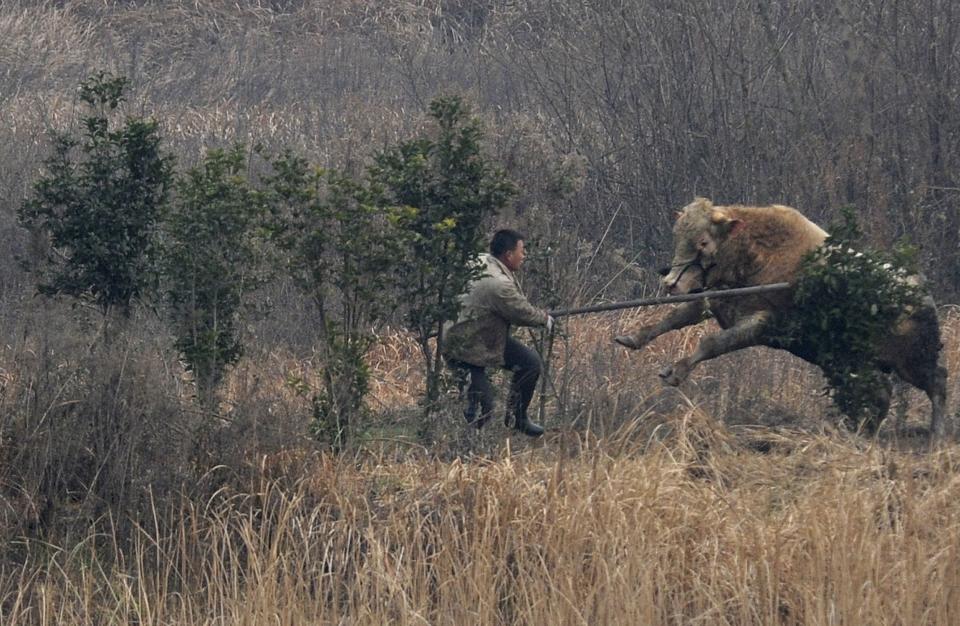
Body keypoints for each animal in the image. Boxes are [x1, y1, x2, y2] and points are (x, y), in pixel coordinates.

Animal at [616, 197, 944, 436]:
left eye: (703, 242)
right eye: (678, 236)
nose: (671, 283)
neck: (755, 257)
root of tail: (923, 295)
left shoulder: (760, 324)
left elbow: (711, 343)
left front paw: (675, 371)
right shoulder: (716, 300)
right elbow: (676, 317)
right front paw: (633, 337)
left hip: (913, 361)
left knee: (937, 384)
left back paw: (936, 435)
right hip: (854, 363)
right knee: (881, 395)